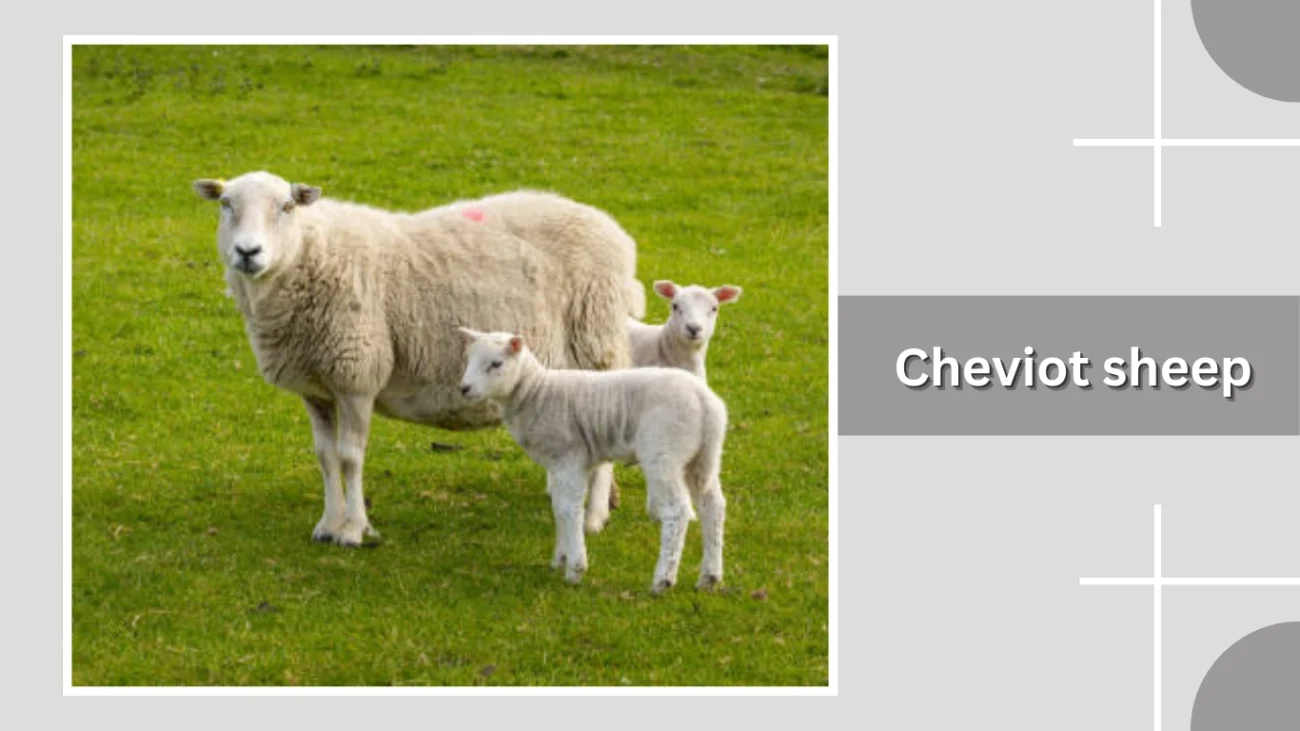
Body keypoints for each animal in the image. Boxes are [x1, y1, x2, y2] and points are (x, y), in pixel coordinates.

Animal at [191, 171, 645, 546]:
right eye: (226, 204)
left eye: (286, 207)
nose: (248, 252)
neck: (309, 252)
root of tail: (615, 233)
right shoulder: (316, 388)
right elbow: (325, 458)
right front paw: (327, 524)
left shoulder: (357, 374)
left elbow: (350, 457)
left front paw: (353, 529)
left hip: (597, 344)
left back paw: (595, 515)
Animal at [457, 326, 728, 593]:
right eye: (469, 359)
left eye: (496, 363)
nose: (464, 388)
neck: (536, 392)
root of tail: (705, 400)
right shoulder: (557, 466)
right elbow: (558, 508)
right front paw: (561, 558)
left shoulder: (570, 458)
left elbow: (569, 509)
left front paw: (575, 568)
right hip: (703, 457)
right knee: (712, 505)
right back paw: (710, 576)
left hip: (664, 452)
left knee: (677, 511)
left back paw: (663, 579)